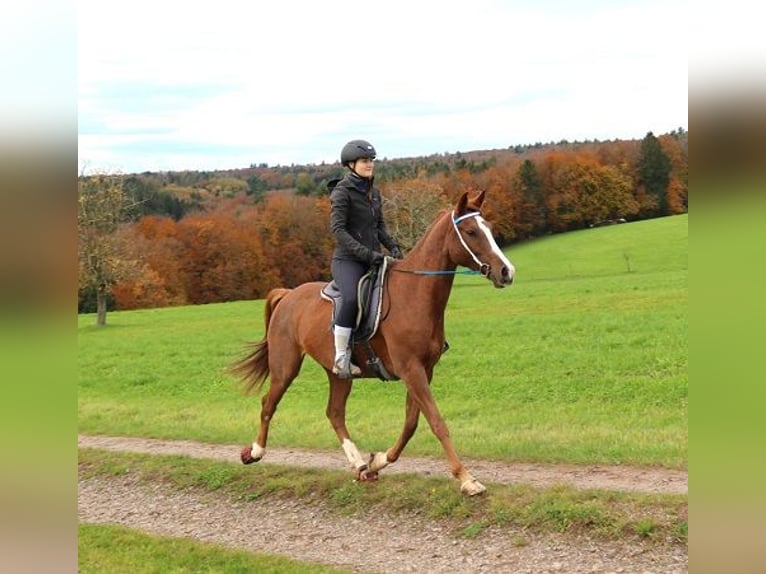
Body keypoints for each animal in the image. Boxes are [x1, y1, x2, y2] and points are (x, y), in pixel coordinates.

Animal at [230, 190, 515, 495]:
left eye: (489, 228)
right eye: (471, 231)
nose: (506, 272)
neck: (413, 294)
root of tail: (288, 295)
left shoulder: (423, 370)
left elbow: (411, 423)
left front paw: (377, 461)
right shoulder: (411, 370)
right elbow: (436, 422)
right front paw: (467, 479)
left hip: (338, 374)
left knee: (334, 413)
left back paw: (359, 465)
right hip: (286, 367)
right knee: (268, 403)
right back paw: (254, 452)